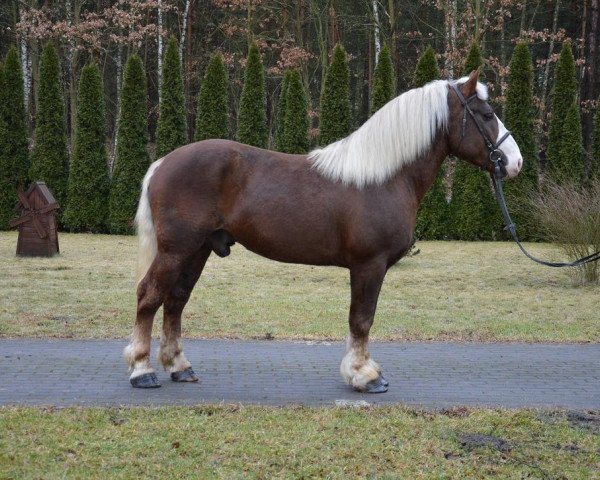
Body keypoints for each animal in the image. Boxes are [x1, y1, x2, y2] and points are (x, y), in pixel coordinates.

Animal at [125, 72, 520, 394]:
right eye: (486, 115)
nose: (515, 162)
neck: (384, 177)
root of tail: (163, 163)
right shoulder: (369, 265)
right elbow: (362, 319)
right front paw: (365, 375)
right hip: (176, 250)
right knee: (149, 296)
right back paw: (142, 370)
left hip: (198, 250)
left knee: (176, 300)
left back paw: (180, 366)